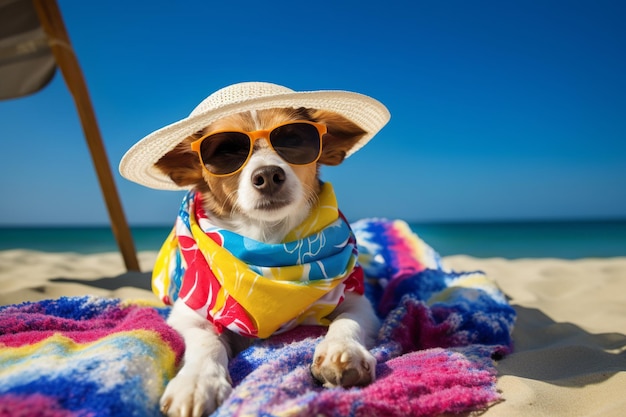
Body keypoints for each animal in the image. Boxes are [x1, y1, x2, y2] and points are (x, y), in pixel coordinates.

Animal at [119, 82, 388, 416]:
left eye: (293, 139)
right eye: (226, 151)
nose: (269, 174)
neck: (267, 242)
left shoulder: (358, 300)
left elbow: (347, 321)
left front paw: (343, 351)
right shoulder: (188, 313)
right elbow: (206, 341)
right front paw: (197, 382)